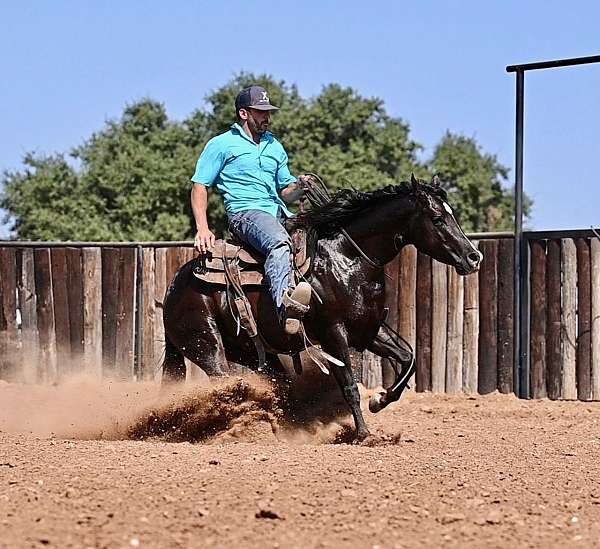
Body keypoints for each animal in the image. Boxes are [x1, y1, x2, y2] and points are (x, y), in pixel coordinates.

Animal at [163, 176, 482, 440]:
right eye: (437, 219)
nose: (473, 257)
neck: (349, 258)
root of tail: (173, 287)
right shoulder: (333, 333)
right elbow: (350, 385)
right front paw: (364, 434)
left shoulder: (370, 329)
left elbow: (408, 359)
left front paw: (379, 400)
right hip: (207, 346)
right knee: (224, 386)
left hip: (249, 351)